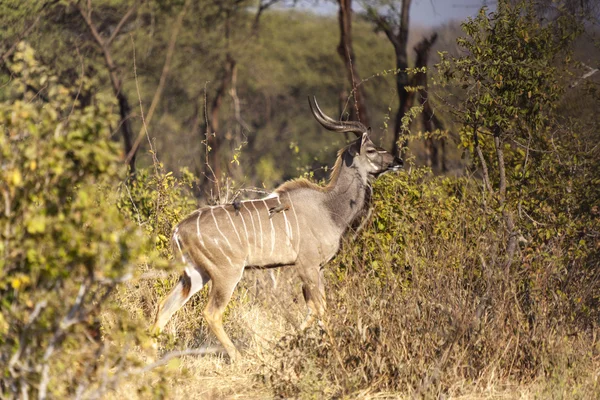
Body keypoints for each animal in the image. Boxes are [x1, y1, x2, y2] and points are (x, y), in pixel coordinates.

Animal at [152, 97, 404, 360]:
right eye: (372, 149)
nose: (398, 161)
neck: (328, 206)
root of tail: (178, 230)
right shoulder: (307, 265)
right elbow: (320, 308)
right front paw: (330, 351)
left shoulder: (316, 268)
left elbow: (314, 309)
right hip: (226, 274)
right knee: (211, 313)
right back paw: (239, 358)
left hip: (194, 275)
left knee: (164, 306)